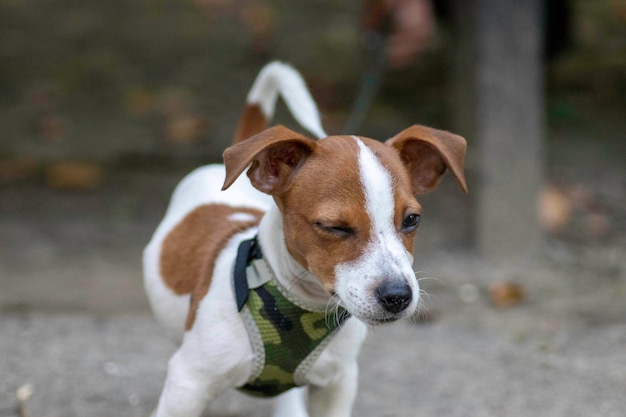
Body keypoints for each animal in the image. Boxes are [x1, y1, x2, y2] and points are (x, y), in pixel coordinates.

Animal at [141, 61, 464, 416]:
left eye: (411, 220)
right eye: (334, 226)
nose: (398, 296)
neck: (301, 300)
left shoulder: (338, 382)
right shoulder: (187, 385)